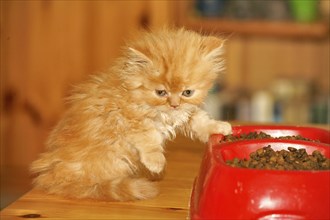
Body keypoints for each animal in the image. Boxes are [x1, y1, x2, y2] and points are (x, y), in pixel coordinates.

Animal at [31, 27, 232, 201]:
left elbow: (200, 121)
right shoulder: (129, 119)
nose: (174, 105)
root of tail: (50, 177)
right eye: (161, 93)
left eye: (187, 92)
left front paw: (220, 127)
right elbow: (149, 139)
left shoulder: (184, 113)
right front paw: (156, 163)